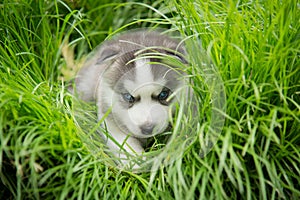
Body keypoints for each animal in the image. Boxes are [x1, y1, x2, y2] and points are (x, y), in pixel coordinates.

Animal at [75, 30, 186, 166]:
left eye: (163, 94)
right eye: (128, 97)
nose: (148, 129)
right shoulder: (109, 118)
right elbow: (124, 144)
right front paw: (136, 163)